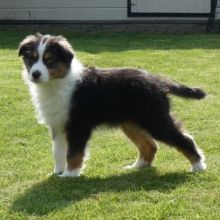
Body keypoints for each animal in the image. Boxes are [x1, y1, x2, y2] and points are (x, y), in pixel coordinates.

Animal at [18, 33, 206, 177]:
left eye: (49, 60)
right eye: (32, 59)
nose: (35, 74)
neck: (57, 83)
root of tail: (156, 79)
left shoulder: (78, 126)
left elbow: (73, 153)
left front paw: (69, 174)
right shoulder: (58, 125)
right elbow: (57, 152)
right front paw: (57, 172)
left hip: (154, 119)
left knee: (184, 139)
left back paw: (198, 166)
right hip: (132, 123)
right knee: (150, 145)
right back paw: (136, 167)